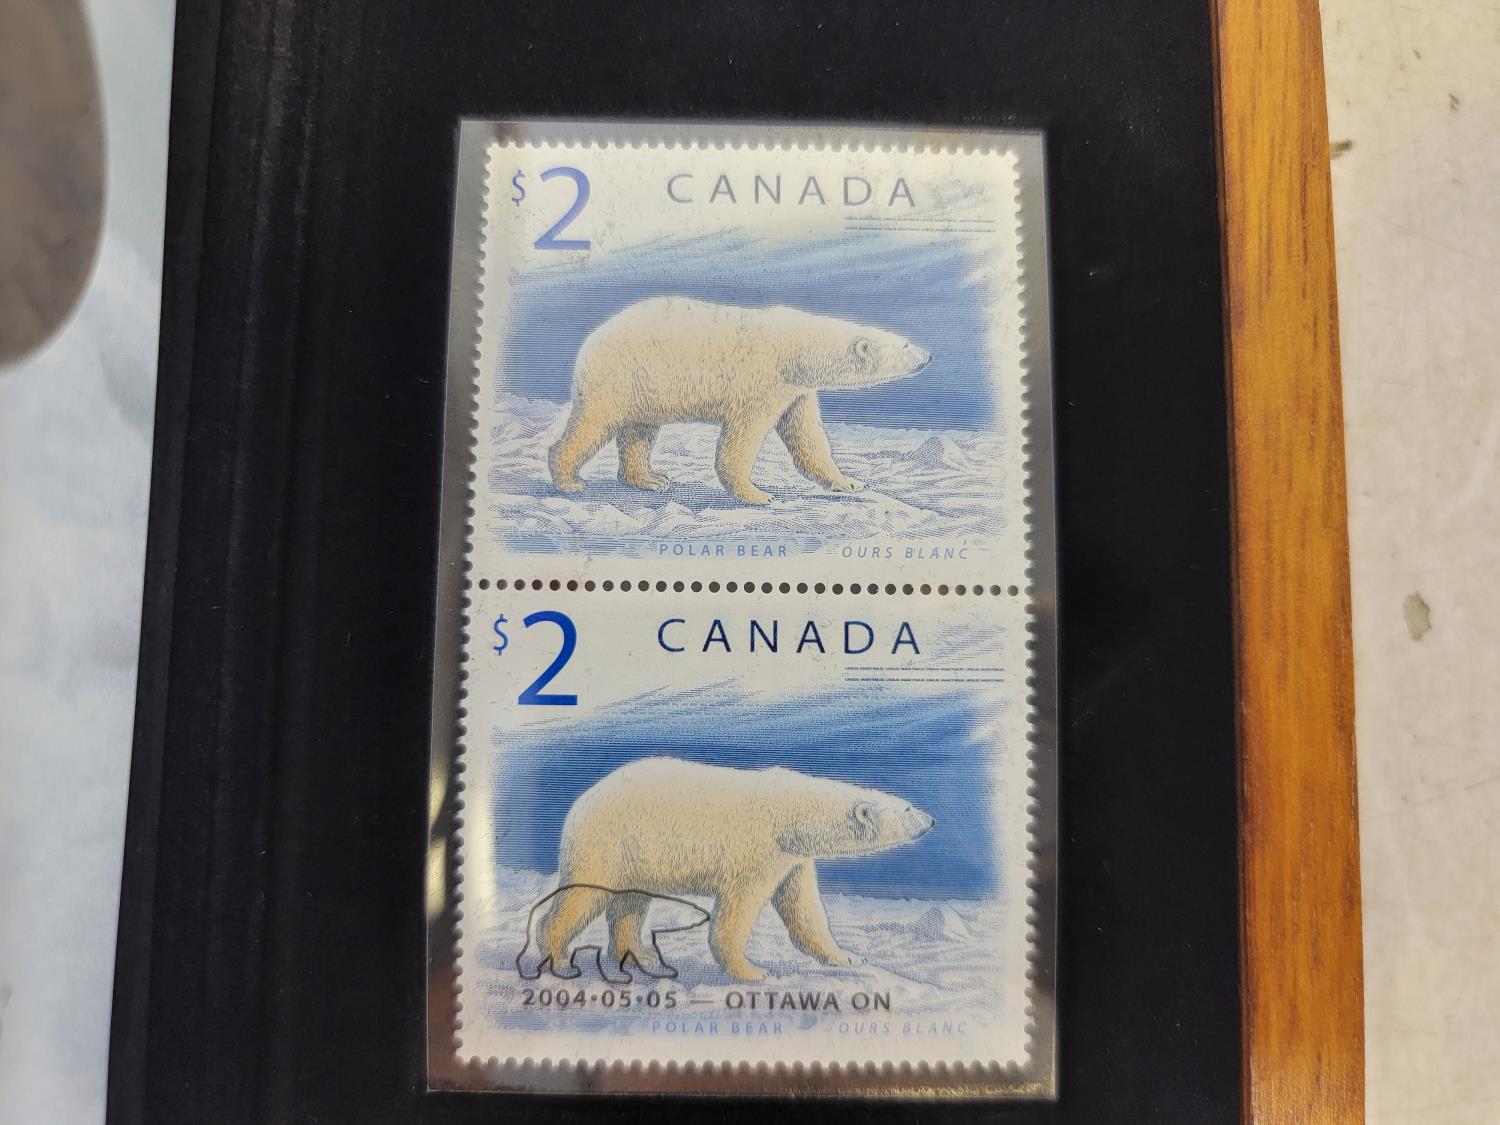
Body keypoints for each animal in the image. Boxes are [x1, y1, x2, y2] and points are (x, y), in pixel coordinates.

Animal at [523, 757, 935, 982]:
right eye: (908, 808)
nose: (931, 819)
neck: (792, 812)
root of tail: (580, 803)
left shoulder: (792, 858)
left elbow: (805, 911)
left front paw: (847, 957)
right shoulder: (759, 849)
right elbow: (738, 909)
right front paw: (754, 972)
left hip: (637, 855)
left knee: (630, 903)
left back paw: (642, 955)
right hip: (608, 843)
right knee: (585, 894)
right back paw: (560, 959)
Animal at [547, 297, 932, 505]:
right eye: (906, 345)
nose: (928, 356)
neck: (798, 347)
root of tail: (591, 339)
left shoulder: (796, 389)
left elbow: (809, 437)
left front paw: (850, 482)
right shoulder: (763, 378)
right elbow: (743, 435)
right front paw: (758, 495)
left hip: (647, 387)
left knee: (640, 431)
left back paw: (650, 478)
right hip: (620, 375)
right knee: (594, 422)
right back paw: (569, 480)